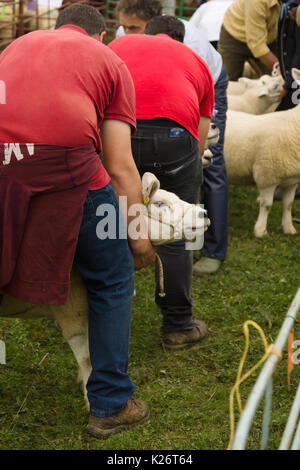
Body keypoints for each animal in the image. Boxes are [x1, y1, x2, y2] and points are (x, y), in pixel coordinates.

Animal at [223, 68, 300, 237]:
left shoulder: (292, 179)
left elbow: (288, 204)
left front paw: (289, 228)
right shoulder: (267, 174)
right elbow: (267, 205)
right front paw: (260, 231)